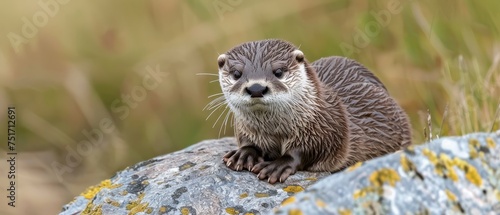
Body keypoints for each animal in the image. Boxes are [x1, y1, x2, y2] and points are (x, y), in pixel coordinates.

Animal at [215, 38, 410, 183]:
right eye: (236, 74)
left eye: (278, 71)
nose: (256, 88)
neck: (276, 130)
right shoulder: (246, 127)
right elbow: (248, 141)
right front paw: (244, 154)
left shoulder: (326, 127)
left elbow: (307, 150)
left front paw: (278, 165)